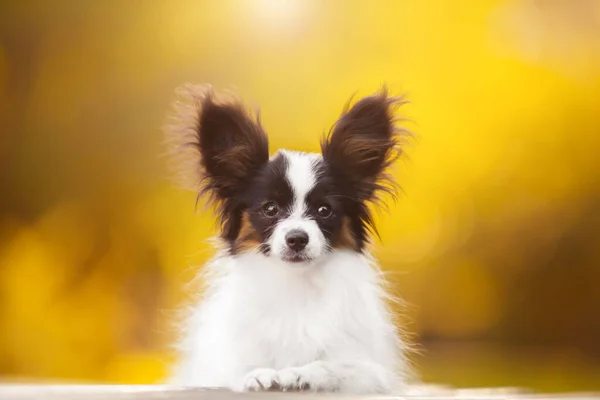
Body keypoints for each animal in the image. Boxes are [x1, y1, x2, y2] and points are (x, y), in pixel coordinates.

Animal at [166, 84, 414, 394]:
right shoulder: (216, 368)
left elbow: (332, 366)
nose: (297, 239)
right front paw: (257, 374)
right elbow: (239, 369)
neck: (296, 286)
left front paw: (300, 373)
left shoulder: (370, 371)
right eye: (270, 208)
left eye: (324, 210)